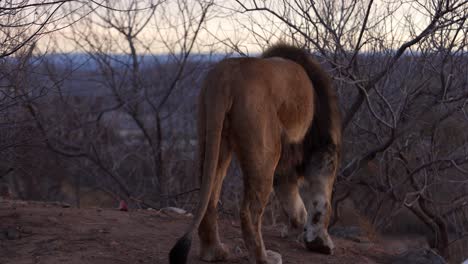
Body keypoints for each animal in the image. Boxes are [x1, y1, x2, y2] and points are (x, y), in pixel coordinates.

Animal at [168, 43, 340, 264]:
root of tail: (225, 76)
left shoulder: (287, 165)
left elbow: (292, 198)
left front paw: (300, 227)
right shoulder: (322, 147)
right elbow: (321, 199)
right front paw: (320, 242)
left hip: (213, 136)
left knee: (210, 199)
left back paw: (215, 252)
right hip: (266, 150)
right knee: (249, 212)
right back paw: (265, 258)